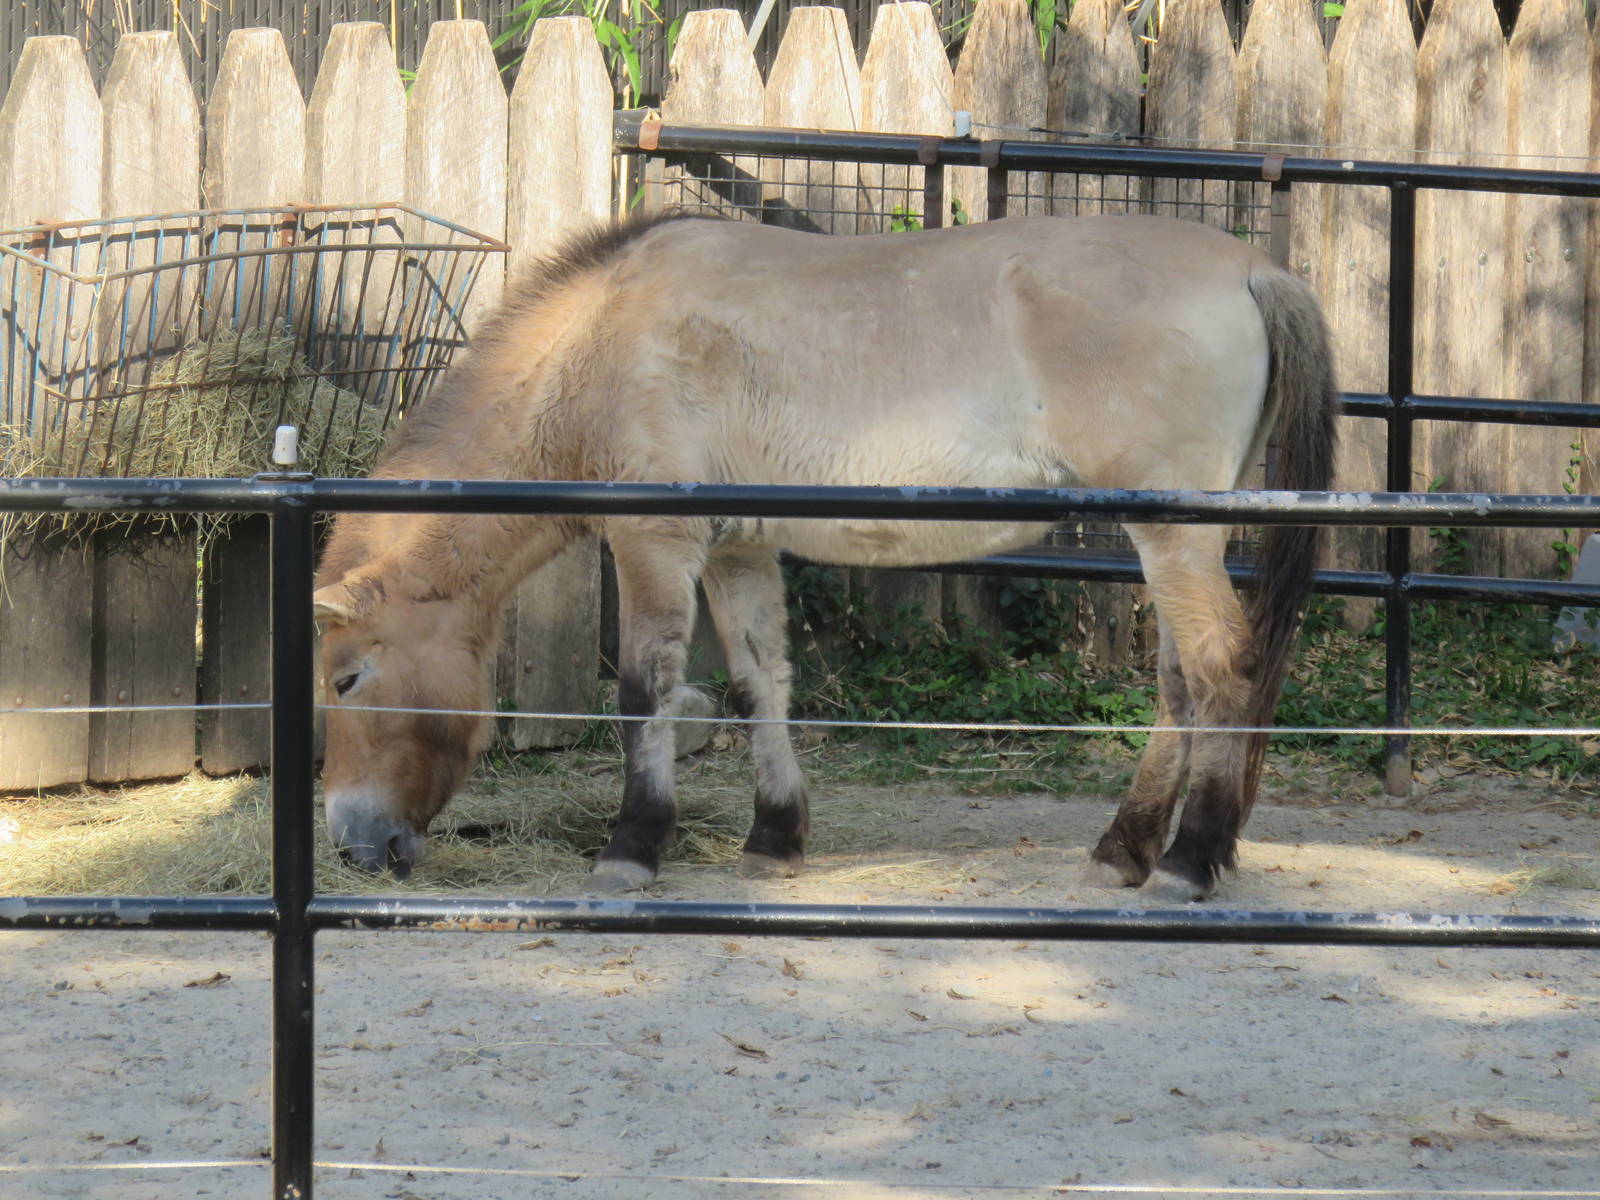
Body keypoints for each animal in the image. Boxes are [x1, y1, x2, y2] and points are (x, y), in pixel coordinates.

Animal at [312, 211, 1338, 902]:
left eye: (349, 678)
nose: (352, 844)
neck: (604, 339)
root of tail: (1255, 269)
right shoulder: (738, 551)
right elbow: (760, 683)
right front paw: (774, 837)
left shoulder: (654, 542)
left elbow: (645, 689)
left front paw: (633, 846)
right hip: (1169, 543)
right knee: (1179, 685)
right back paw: (1124, 848)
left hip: (1173, 537)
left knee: (1219, 672)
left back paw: (1187, 861)